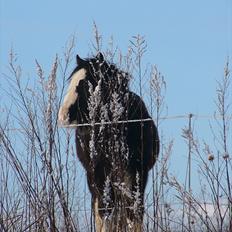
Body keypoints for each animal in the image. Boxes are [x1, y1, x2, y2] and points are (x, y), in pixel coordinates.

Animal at [58, 52, 160, 232]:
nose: (63, 115)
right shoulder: (99, 172)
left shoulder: (139, 172)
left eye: (84, 83)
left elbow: (135, 210)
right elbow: (104, 210)